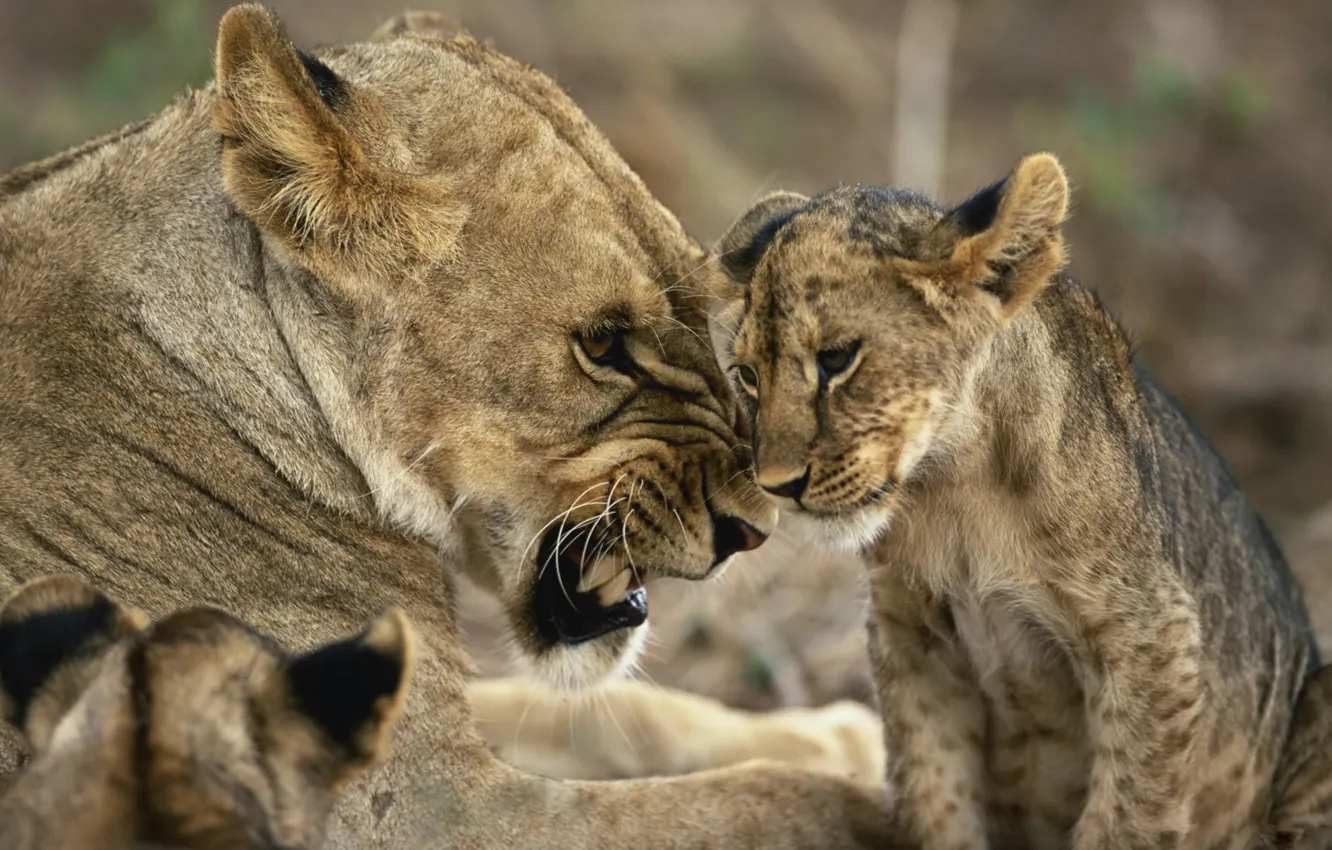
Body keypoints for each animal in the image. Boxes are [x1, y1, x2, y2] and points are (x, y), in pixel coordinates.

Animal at [706, 152, 1332, 849]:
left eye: (837, 358)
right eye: (749, 376)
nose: (776, 484)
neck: (956, 486)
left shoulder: (1152, 637)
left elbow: (1127, 815)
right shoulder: (912, 636)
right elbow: (936, 798)